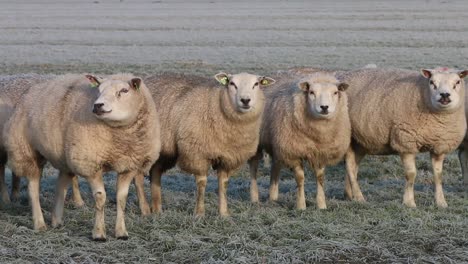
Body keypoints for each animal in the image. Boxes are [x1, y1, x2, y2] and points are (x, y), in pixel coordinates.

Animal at [143, 72, 274, 217]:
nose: (245, 100)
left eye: (256, 84)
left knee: (155, 171)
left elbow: (223, 184)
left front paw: (224, 213)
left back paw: (157, 209)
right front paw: (199, 213)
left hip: (165, 151)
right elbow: (202, 183)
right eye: (232, 83)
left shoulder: (228, 157)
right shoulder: (198, 154)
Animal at [249, 72, 352, 208]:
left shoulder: (321, 152)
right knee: (254, 167)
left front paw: (321, 204)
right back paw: (254, 197)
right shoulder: (294, 151)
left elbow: (320, 177)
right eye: (311, 92)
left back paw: (273, 197)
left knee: (276, 165)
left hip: (278, 141)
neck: (318, 135)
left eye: (335, 92)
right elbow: (300, 178)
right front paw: (301, 205)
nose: (324, 107)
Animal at [342, 67, 466, 207]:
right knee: (350, 166)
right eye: (432, 82)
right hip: (347, 137)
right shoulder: (406, 142)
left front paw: (441, 202)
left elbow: (438, 175)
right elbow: (411, 174)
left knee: (353, 166)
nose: (444, 95)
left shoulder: (439, 146)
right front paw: (409, 202)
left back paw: (349, 195)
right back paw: (359, 197)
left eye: (457, 82)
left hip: (360, 142)